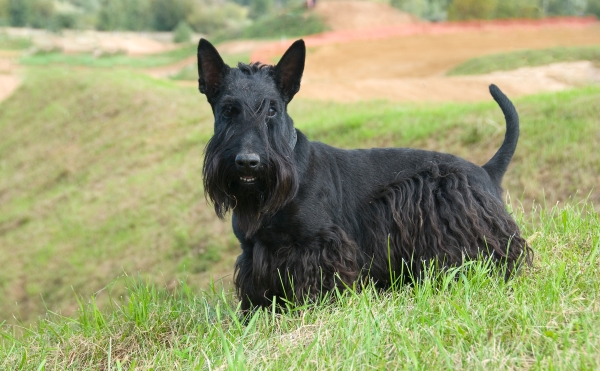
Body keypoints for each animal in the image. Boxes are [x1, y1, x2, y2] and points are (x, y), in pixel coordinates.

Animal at [197, 37, 528, 310]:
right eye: (228, 110)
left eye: (272, 110)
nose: (248, 162)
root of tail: (484, 171)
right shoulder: (253, 253)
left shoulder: (320, 245)